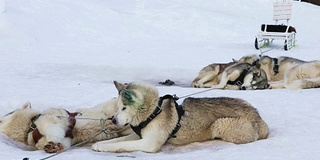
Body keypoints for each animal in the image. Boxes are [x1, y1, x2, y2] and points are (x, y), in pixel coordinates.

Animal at [0, 99, 131, 153]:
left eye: (1, 119)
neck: (30, 126)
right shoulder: (68, 138)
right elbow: (64, 142)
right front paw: (54, 147)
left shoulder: (51, 119)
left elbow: (52, 130)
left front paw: (53, 142)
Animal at [91, 82, 268, 153]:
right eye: (118, 107)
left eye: (124, 108)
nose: (113, 120)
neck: (153, 112)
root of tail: (258, 116)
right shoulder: (138, 135)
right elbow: (116, 140)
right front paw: (100, 144)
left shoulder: (149, 143)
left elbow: (122, 145)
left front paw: (104, 147)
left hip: (220, 123)